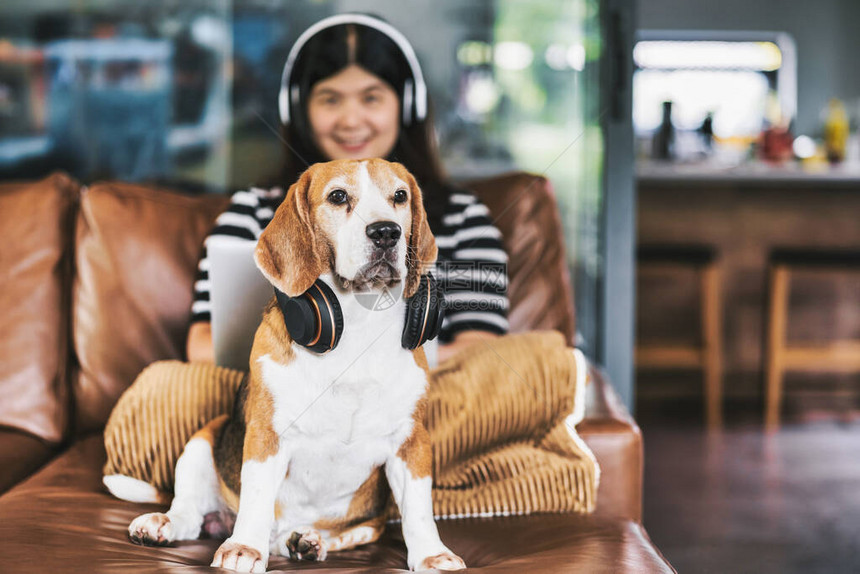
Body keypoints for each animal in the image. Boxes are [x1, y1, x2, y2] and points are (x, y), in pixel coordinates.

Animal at [125, 156, 466, 572]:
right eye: (338, 196)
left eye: (400, 196)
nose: (387, 232)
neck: (356, 324)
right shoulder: (266, 434)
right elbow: (256, 498)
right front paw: (244, 548)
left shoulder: (412, 440)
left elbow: (419, 509)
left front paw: (433, 554)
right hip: (204, 439)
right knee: (190, 515)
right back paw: (165, 523)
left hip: (368, 518)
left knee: (345, 534)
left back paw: (305, 540)